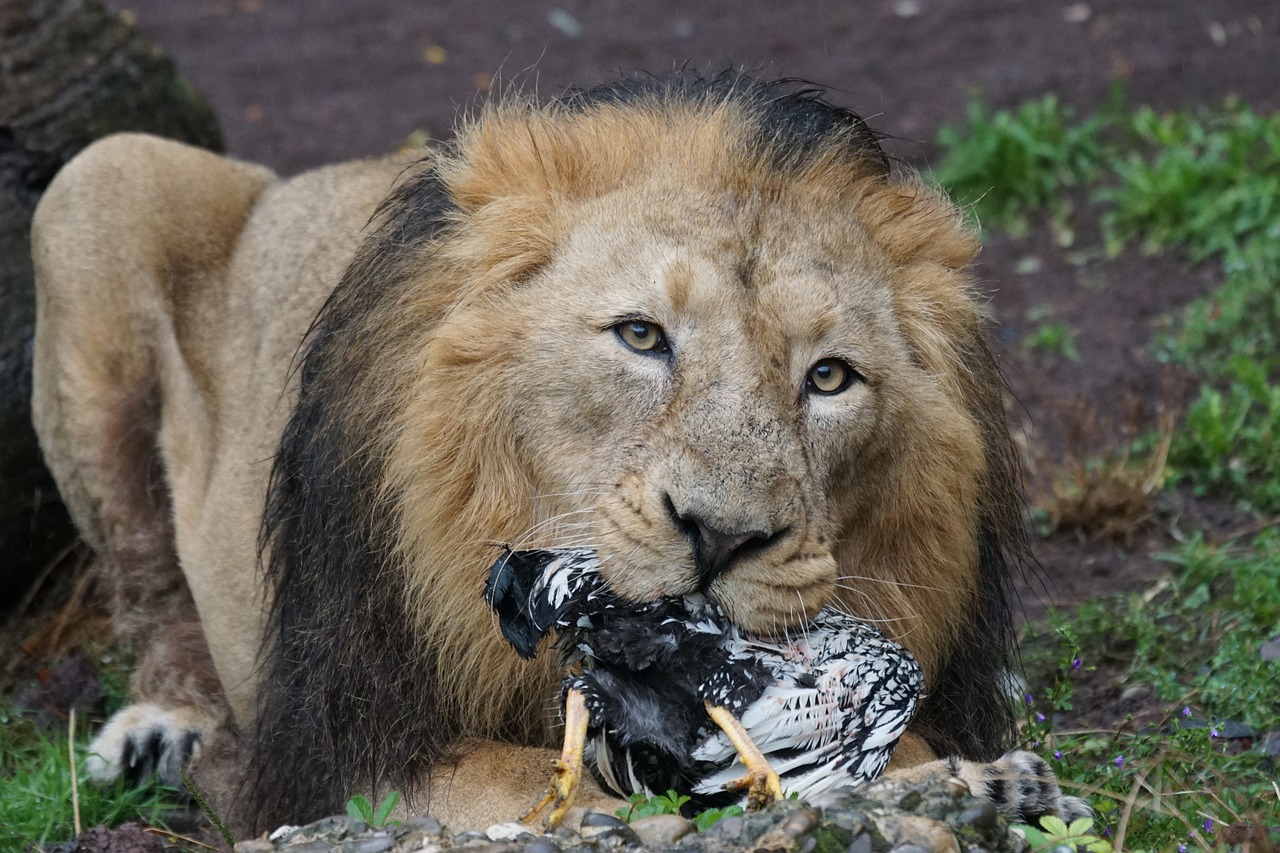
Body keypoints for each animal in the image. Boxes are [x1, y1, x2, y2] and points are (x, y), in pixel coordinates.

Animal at [30, 71, 1085, 829]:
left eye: (829, 378)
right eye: (641, 335)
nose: (721, 536)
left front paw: (978, 781)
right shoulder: (355, 748)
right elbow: (540, 783)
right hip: (96, 183)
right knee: (149, 586)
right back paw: (166, 728)